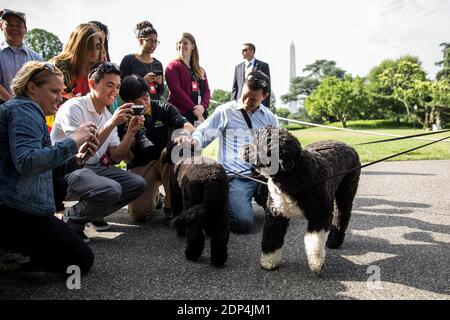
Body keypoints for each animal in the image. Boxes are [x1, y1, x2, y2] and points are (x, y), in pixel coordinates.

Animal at [241, 127, 360, 272]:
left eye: (257, 141)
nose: (243, 148)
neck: (292, 176)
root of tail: (349, 146)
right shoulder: (275, 214)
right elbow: (271, 238)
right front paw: (269, 261)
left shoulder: (319, 216)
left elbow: (314, 241)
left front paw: (316, 263)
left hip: (346, 192)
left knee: (342, 215)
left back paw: (334, 240)